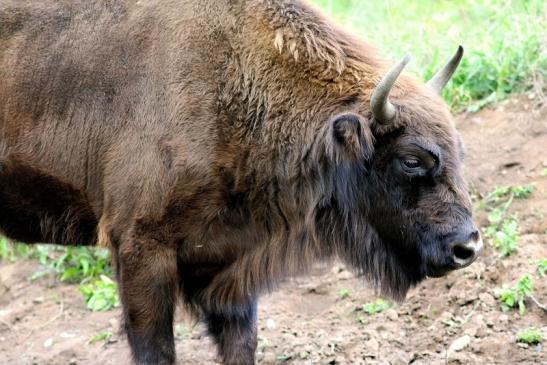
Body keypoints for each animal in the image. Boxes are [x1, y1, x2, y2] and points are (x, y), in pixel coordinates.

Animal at [2, 0, 484, 362]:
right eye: (410, 160)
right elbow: (156, 348)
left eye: (460, 149)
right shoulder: (140, 250)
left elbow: (242, 343)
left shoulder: (230, 266)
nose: (467, 247)